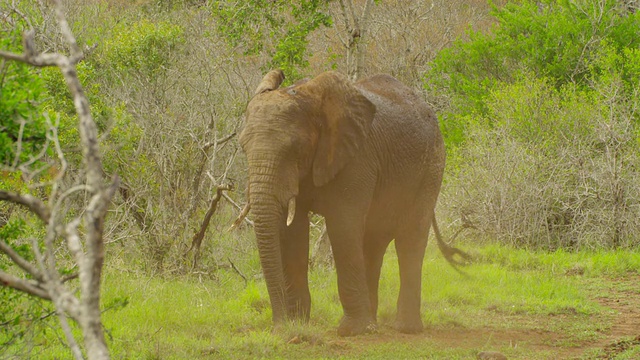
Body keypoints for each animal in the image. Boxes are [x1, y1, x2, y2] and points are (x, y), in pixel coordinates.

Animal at [238, 70, 468, 338]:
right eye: (243, 147)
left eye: (294, 147)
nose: (278, 327)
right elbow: (291, 232)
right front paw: (298, 323)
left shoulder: (357, 159)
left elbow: (343, 226)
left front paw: (350, 330)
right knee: (374, 241)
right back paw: (373, 324)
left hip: (432, 166)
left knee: (410, 237)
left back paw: (405, 328)